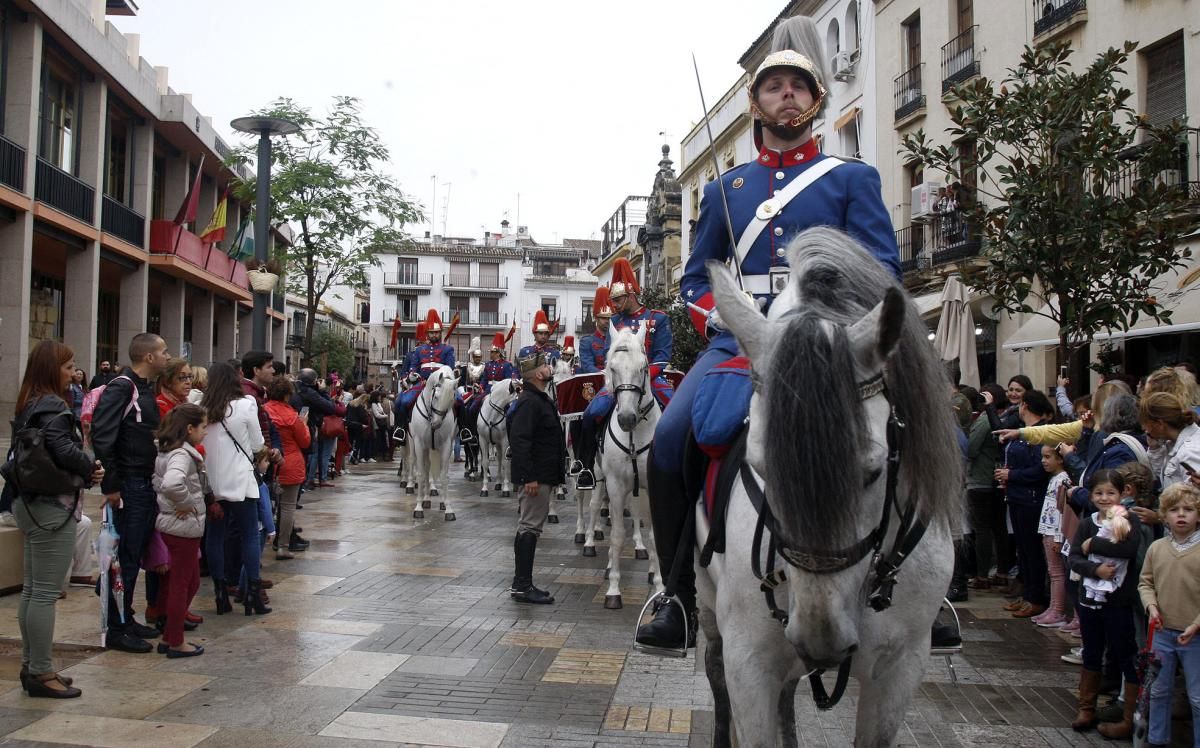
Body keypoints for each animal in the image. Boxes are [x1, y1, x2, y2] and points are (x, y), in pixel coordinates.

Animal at [405, 367, 456, 521]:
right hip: (413, 443)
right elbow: (421, 474)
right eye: (436, 396)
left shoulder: (446, 445)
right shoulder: (419, 443)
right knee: (415, 463)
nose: (436, 424)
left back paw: (431, 499)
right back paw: (415, 489)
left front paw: (448, 508)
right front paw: (418, 507)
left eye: (452, 399)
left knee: (429, 468)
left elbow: (443, 475)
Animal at [590, 326, 667, 609]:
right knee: (596, 508)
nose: (626, 418)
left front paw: (661, 588)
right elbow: (616, 534)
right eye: (611, 368)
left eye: (643, 367)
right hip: (599, 478)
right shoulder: (615, 484)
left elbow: (655, 536)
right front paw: (613, 589)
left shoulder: (653, 487)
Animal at [696, 229, 955, 748]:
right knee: (716, 677)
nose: (821, 640)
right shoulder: (748, 660)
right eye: (761, 468)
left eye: (873, 471)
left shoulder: (902, 665)